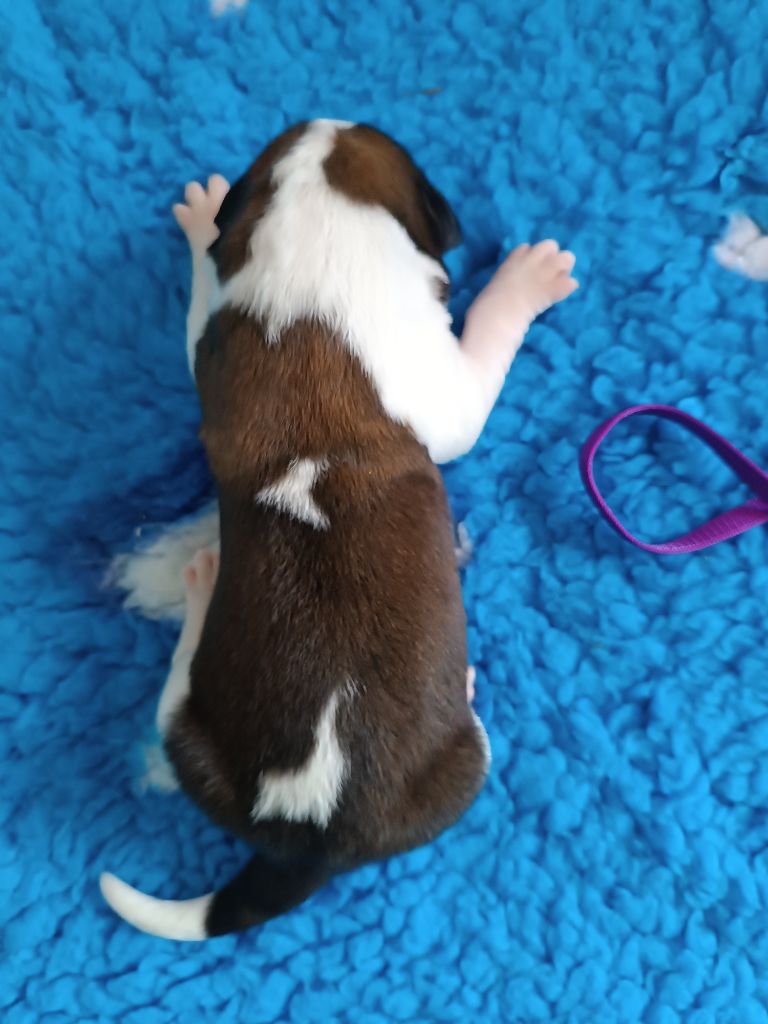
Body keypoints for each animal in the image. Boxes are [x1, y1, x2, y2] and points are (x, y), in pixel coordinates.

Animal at [101, 119, 577, 939]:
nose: (330, 120)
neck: (316, 261)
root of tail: (307, 837)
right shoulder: (444, 389)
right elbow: (476, 379)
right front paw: (527, 279)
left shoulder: (215, 342)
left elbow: (198, 308)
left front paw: (202, 222)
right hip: (465, 767)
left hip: (199, 751)